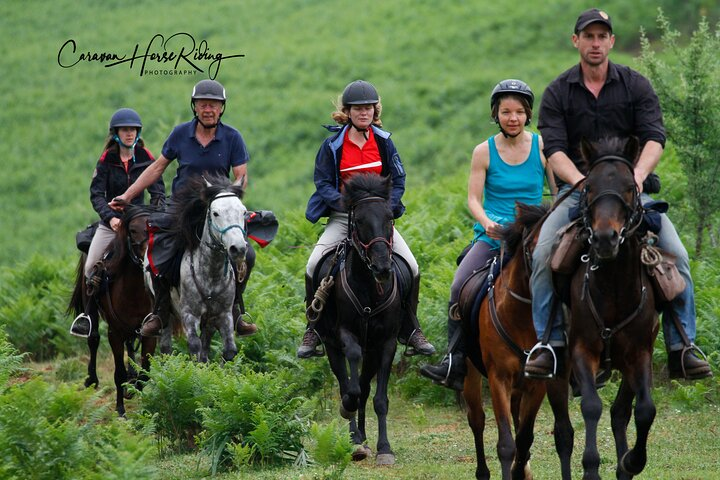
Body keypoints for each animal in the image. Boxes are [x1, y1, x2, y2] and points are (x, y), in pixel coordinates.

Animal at [68, 206, 158, 416]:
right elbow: (119, 373)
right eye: (132, 230)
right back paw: (92, 379)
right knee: (93, 339)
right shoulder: (114, 333)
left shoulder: (149, 334)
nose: (147, 261)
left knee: (130, 344)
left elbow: (145, 373)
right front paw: (120, 409)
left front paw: (135, 391)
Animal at [153, 176, 249, 364]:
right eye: (215, 213)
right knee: (166, 345)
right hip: (166, 311)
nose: (238, 249)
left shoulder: (223, 314)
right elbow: (194, 347)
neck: (211, 273)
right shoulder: (190, 315)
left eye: (243, 212)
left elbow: (229, 350)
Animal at [316, 174, 402, 466]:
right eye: (360, 221)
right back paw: (356, 439)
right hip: (331, 345)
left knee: (364, 387)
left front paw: (385, 448)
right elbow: (349, 389)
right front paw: (348, 417)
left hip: (372, 352)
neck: (369, 289)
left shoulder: (386, 343)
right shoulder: (345, 334)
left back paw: (364, 437)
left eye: (389, 217)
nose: (382, 268)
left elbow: (379, 399)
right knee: (347, 383)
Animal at [464, 203, 576, 480]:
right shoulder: (498, 377)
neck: (521, 314)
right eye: (538, 245)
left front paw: (520, 470)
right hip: (470, 372)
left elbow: (524, 438)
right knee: (477, 419)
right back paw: (483, 472)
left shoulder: (537, 382)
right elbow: (506, 443)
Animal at [564, 136, 660, 480]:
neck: (614, 289)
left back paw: (624, 466)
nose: (606, 238)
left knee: (621, 411)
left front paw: (632, 461)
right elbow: (592, 406)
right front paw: (591, 468)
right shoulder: (581, 350)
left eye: (630, 187)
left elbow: (644, 410)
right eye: (589, 186)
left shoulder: (640, 353)